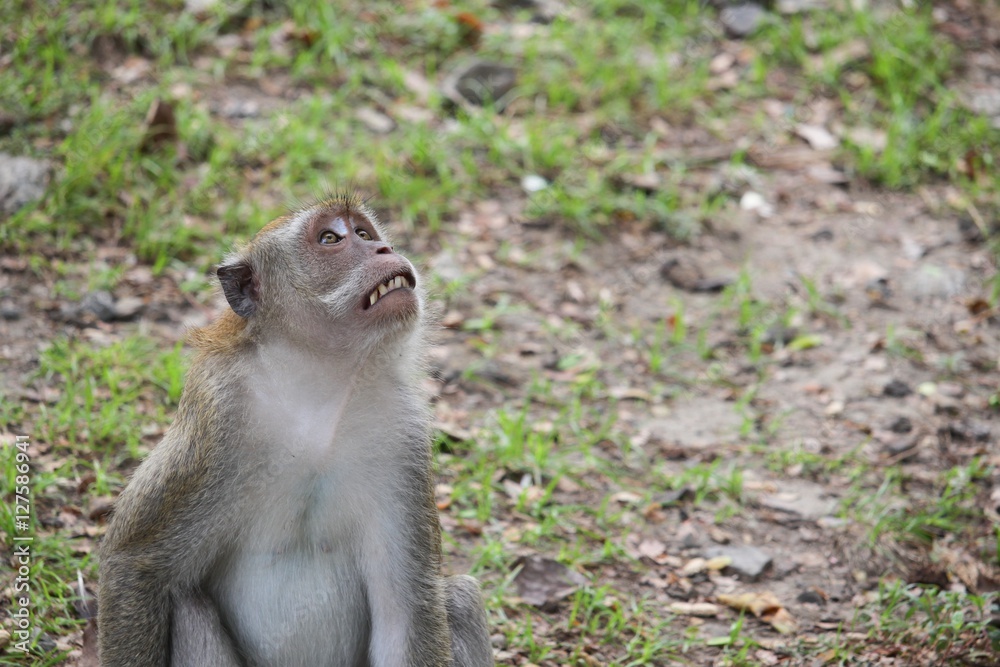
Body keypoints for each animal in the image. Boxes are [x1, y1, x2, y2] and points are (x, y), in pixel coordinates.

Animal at [95, 196, 494, 664]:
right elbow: (137, 563)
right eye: (330, 239)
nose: (383, 249)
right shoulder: (215, 418)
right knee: (186, 604)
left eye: (363, 233)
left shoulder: (404, 434)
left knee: (460, 599)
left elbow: (405, 610)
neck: (319, 390)